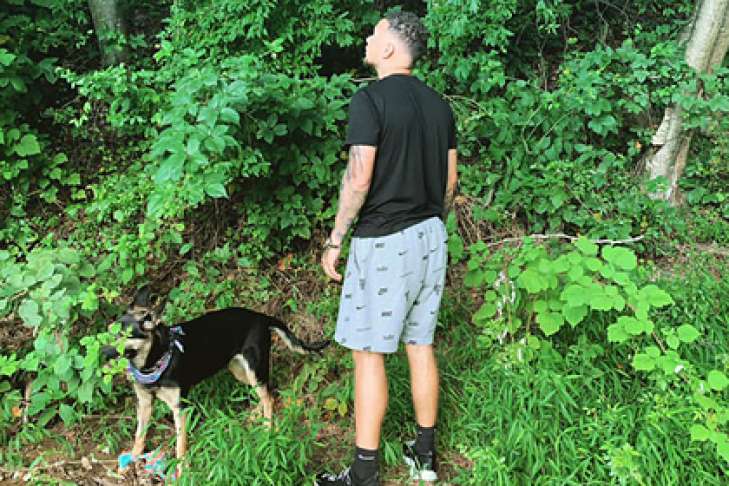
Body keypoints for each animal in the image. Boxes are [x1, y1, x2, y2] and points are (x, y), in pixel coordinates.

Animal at [101, 286, 329, 473]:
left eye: (124, 336)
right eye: (110, 333)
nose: (102, 353)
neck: (153, 362)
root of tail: (262, 317)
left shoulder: (180, 407)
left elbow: (180, 444)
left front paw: (182, 471)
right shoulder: (145, 402)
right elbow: (139, 436)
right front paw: (130, 460)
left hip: (254, 367)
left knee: (268, 397)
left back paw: (267, 428)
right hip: (239, 370)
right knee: (268, 392)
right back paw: (257, 414)